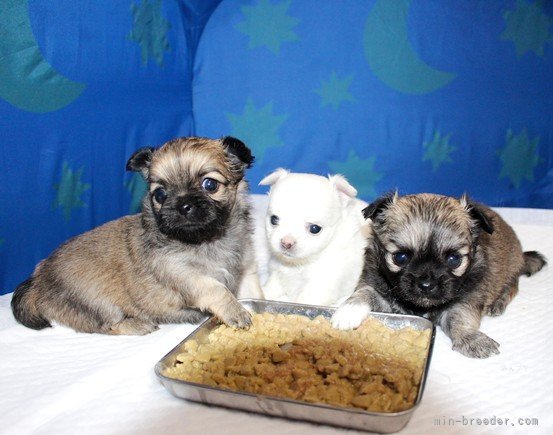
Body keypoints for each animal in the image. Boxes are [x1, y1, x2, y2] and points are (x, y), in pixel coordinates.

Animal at [11, 136, 262, 335]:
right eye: (160, 195)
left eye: (209, 185)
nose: (183, 206)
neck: (207, 239)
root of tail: (38, 278)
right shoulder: (183, 274)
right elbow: (215, 288)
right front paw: (235, 311)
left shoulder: (246, 270)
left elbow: (255, 292)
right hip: (97, 303)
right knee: (106, 324)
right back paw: (138, 325)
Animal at [259, 169, 369, 306]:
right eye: (273, 220)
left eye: (315, 229)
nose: (286, 243)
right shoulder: (278, 274)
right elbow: (270, 288)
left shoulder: (320, 287)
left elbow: (302, 301)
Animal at [332, 192, 547, 358]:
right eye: (400, 257)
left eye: (454, 260)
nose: (426, 284)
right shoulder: (376, 283)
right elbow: (365, 292)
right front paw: (348, 311)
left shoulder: (467, 299)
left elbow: (460, 318)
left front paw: (470, 338)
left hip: (511, 269)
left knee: (513, 285)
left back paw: (498, 303)